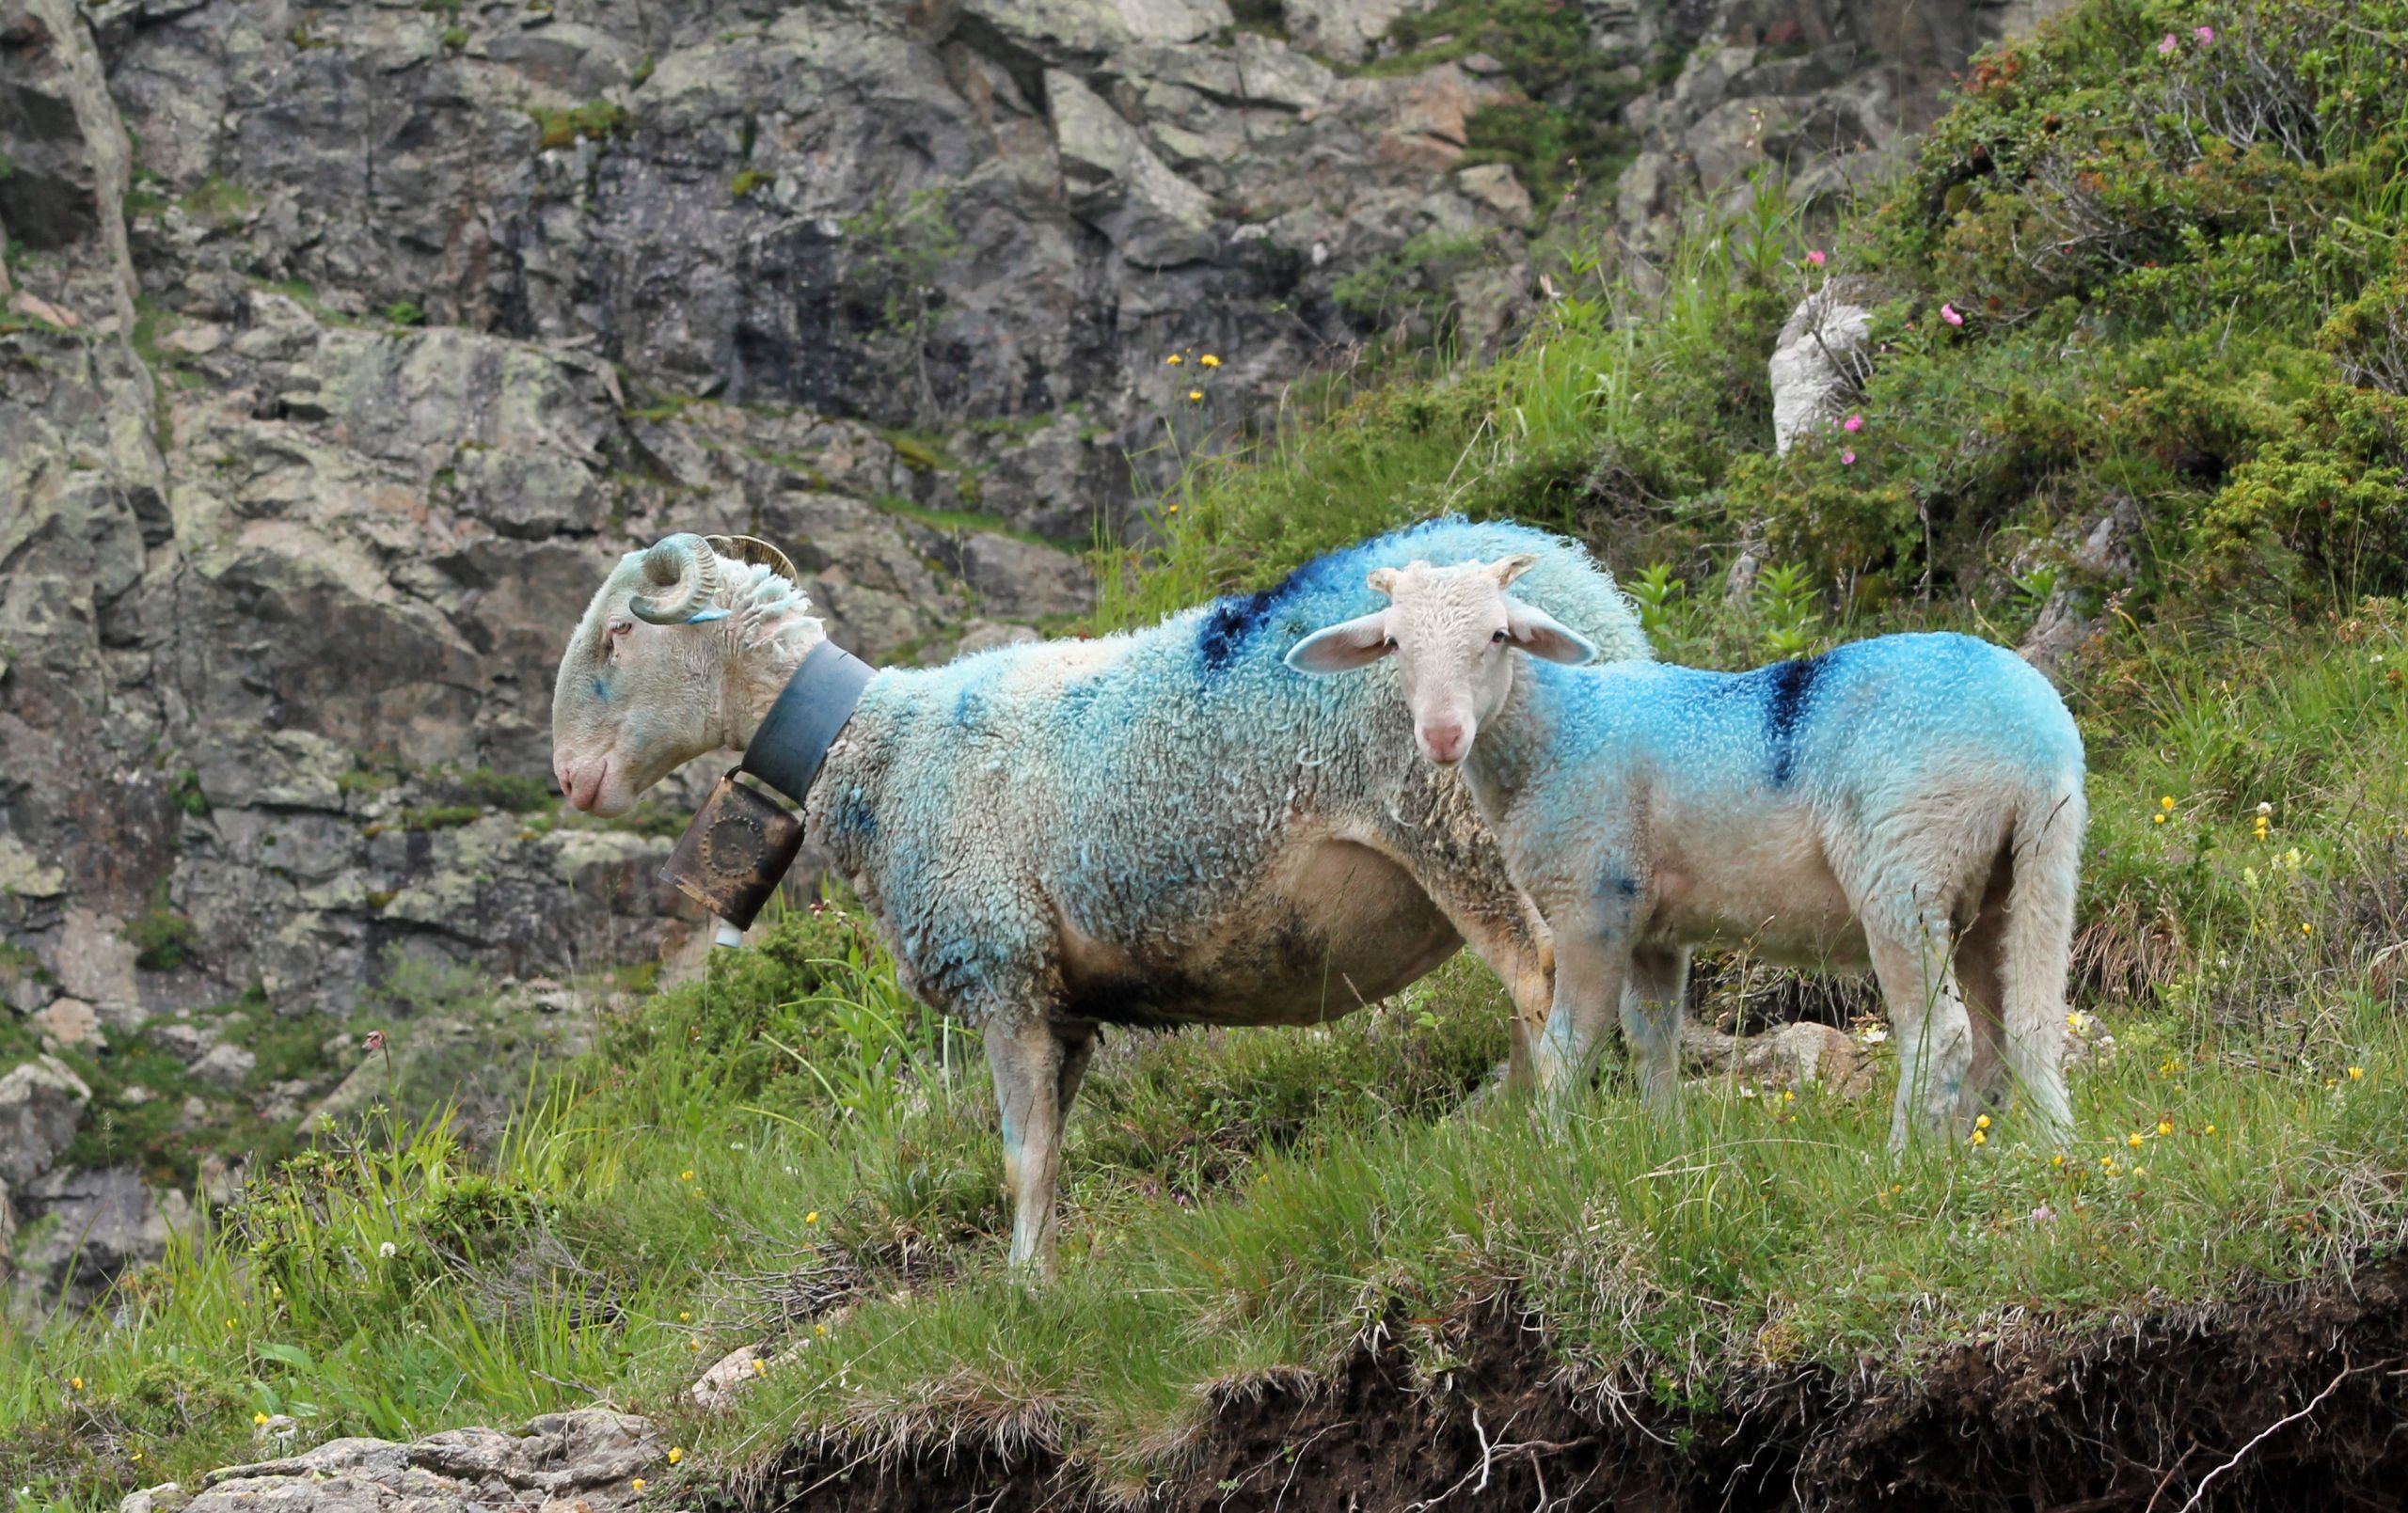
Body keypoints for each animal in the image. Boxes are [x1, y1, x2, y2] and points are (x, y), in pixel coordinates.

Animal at [556, 512, 1656, 1269]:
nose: (569, 779)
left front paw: (1016, 1296)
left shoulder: (997, 963)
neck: (873, 747)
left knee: (1541, 985)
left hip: (1455, 826)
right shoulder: (1062, 1001)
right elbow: (1051, 1152)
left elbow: (1020, 1159)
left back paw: (1537, 1151)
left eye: (619, 636)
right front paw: (1045, 1281)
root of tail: (1587, 597)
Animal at [1300, 555, 2090, 1144]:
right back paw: (1999, 1149)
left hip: (1905, 869)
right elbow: (1653, 1038)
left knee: (1941, 1035)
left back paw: (1904, 1162)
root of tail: (2038, 742)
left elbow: (1570, 1046)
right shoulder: (1653, 925)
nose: (1441, 735)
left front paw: (1553, 1155)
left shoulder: (1594, 901)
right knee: (2015, 1030)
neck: (1557, 730)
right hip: (2022, 871)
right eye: (1395, 644)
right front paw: (1662, 1143)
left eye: (1498, 635)